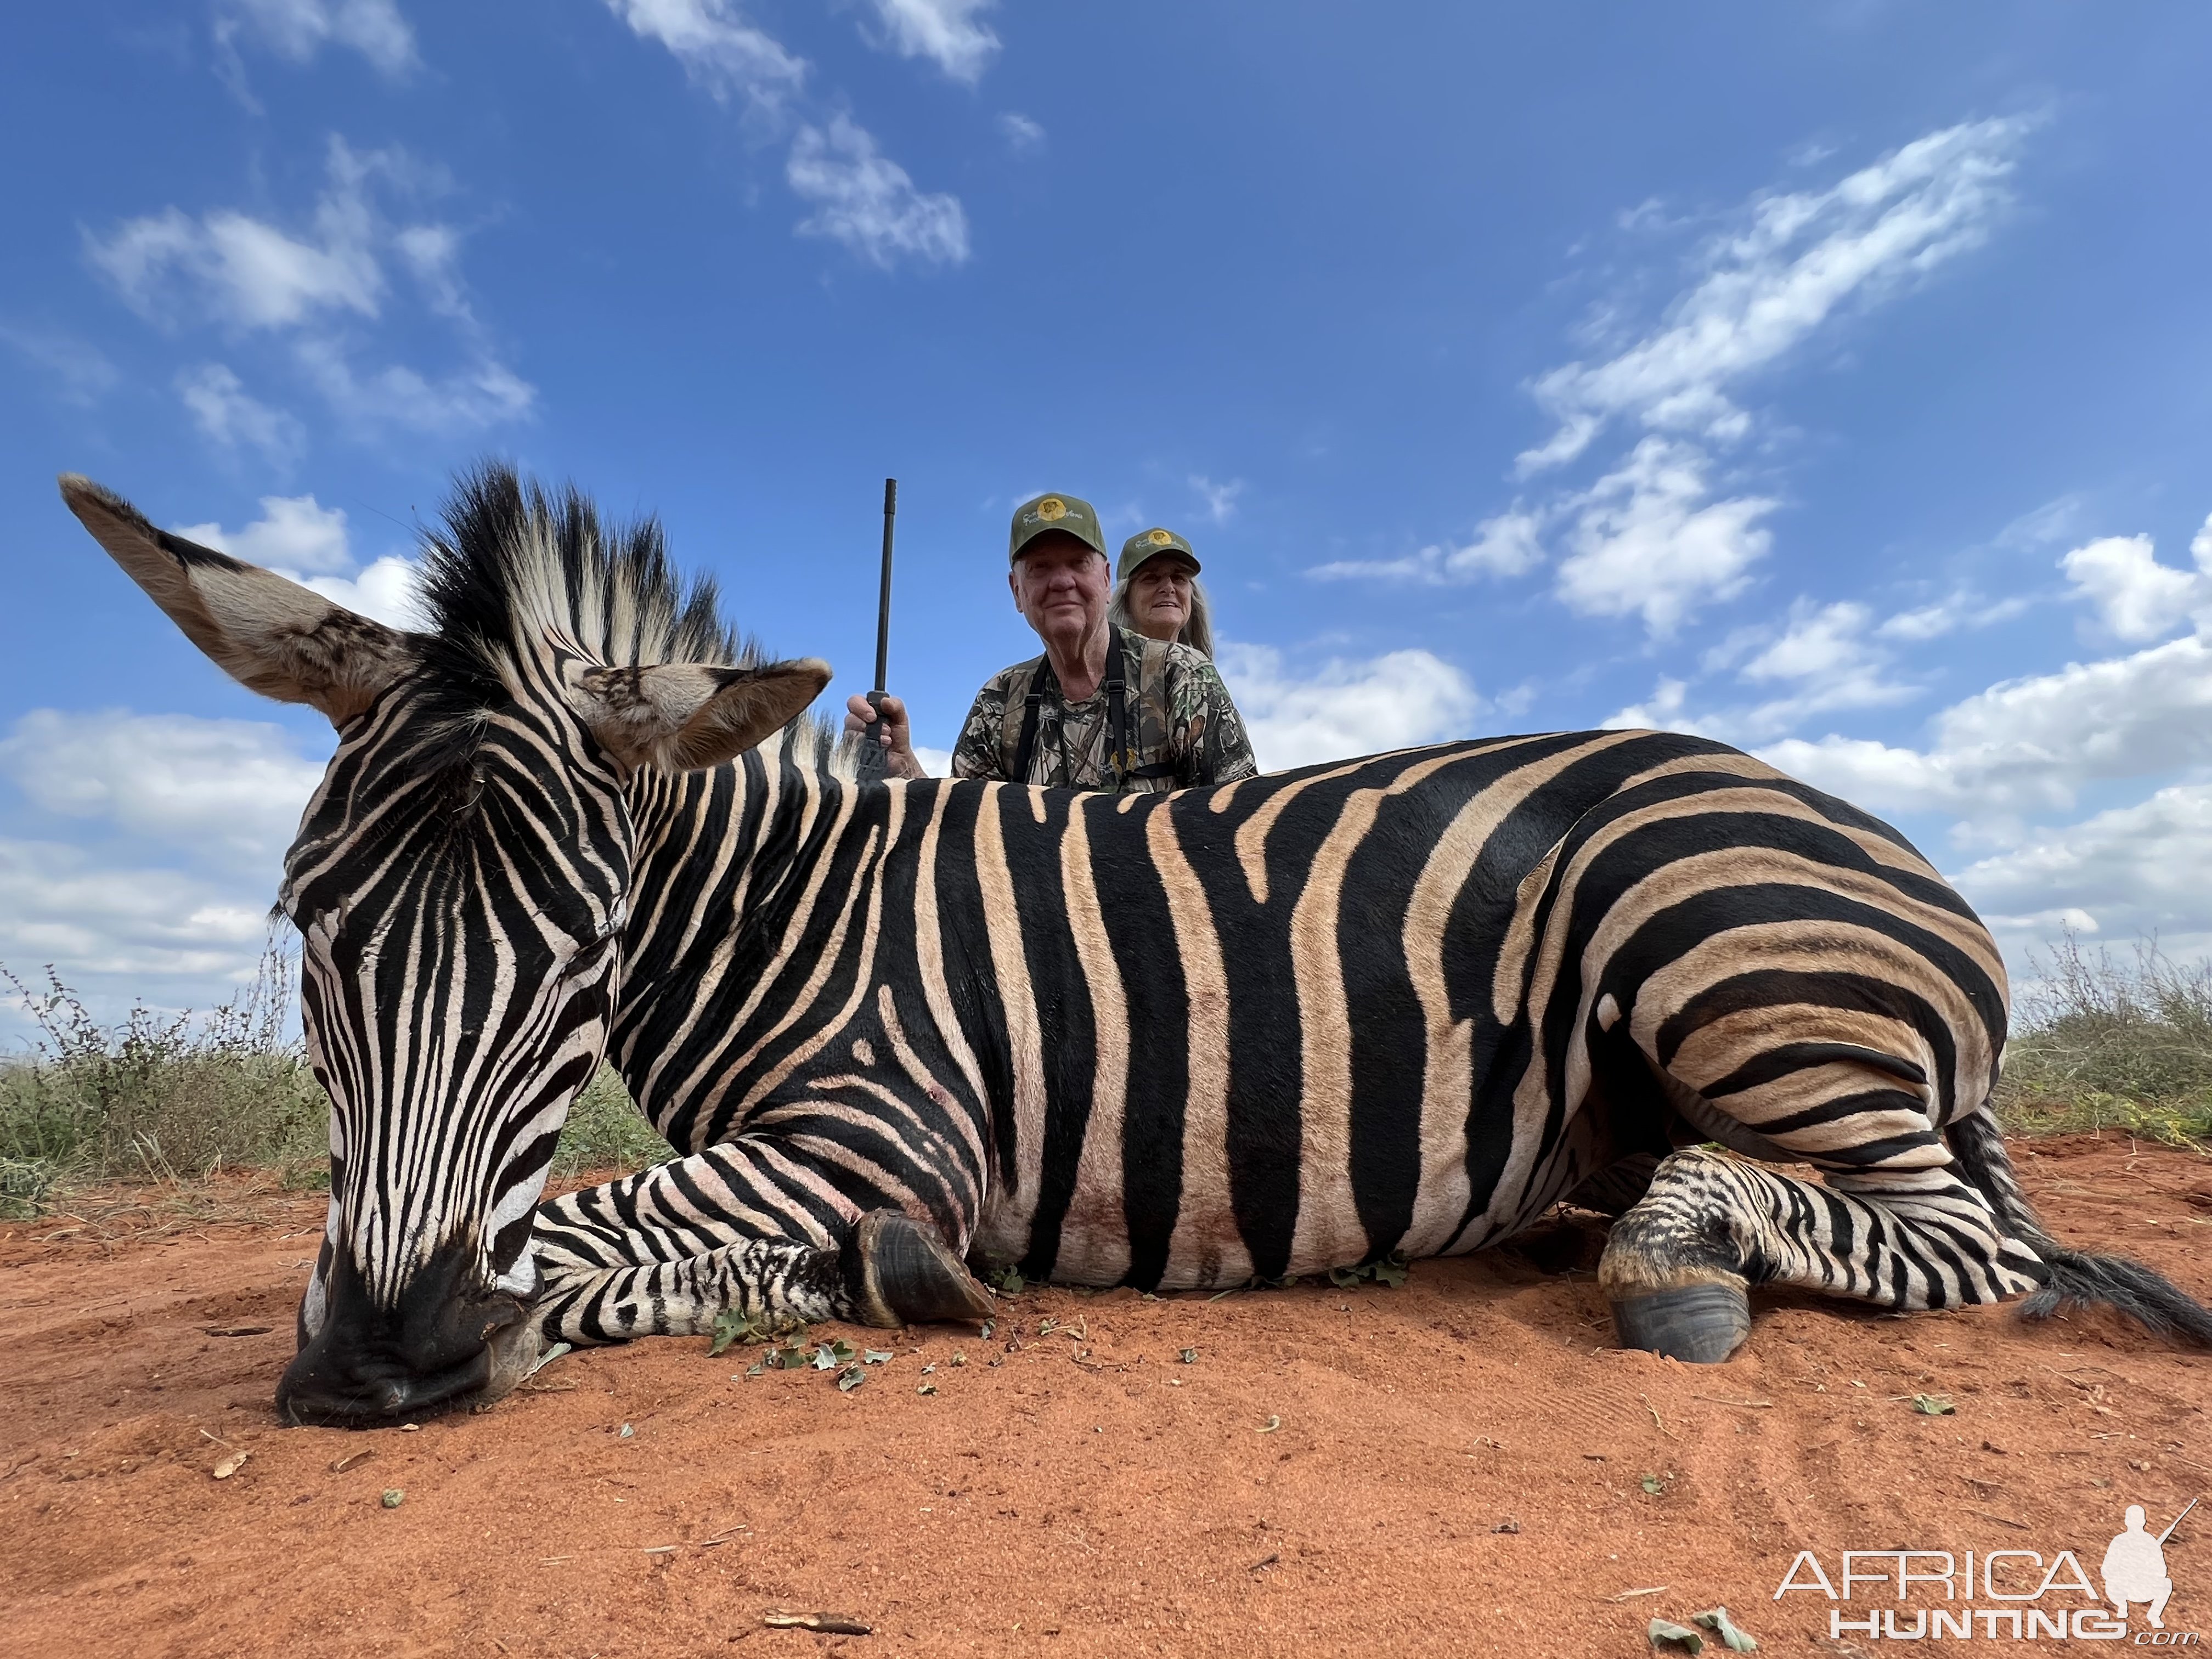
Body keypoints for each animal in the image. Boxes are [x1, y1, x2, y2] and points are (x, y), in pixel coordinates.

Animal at [56, 469, 2212, 1433]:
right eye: (307, 925)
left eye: (584, 948)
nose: (375, 1365)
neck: (783, 912)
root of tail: (1876, 842)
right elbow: (607, 1243)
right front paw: (857, 1279)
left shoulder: (888, 1123)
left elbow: (578, 1229)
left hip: (1729, 958)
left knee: (1972, 1246)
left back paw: (1679, 1261)